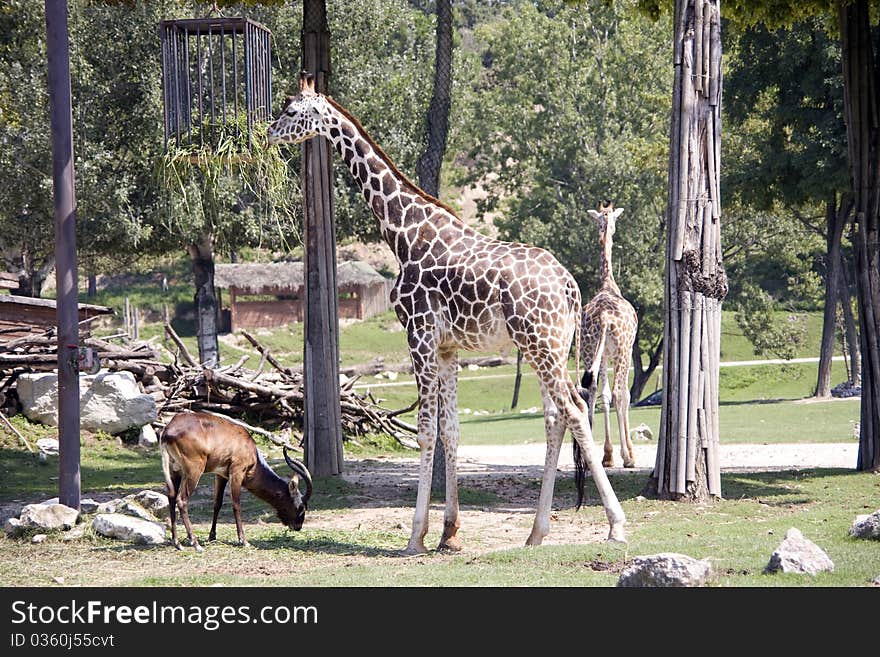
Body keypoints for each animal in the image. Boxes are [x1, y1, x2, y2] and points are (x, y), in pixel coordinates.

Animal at [160, 412, 314, 552]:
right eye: (301, 506)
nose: (298, 526)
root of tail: (168, 431)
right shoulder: (237, 472)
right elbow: (236, 505)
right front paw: (243, 541)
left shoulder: (221, 475)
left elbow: (217, 503)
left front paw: (212, 536)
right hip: (193, 471)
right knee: (181, 499)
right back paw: (196, 544)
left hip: (175, 470)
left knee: (171, 497)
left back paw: (177, 543)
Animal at [268, 73, 624, 552]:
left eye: (291, 110)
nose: (270, 132)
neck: (403, 233)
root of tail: (569, 287)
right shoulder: (449, 348)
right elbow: (451, 430)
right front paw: (450, 534)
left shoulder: (418, 335)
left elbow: (425, 429)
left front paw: (416, 536)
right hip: (549, 346)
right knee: (555, 416)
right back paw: (536, 532)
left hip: (540, 344)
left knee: (574, 409)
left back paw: (615, 524)